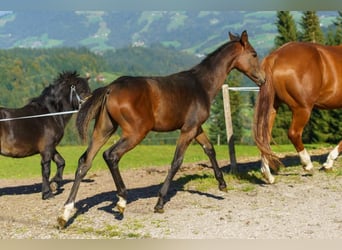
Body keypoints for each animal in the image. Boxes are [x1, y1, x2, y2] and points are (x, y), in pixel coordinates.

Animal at [0, 70, 91, 199]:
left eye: (89, 90)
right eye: (82, 91)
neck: (50, 115)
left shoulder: (51, 147)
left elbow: (61, 162)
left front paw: (54, 184)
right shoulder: (47, 148)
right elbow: (46, 170)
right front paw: (47, 193)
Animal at [57, 30, 266, 228]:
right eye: (254, 54)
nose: (263, 80)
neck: (202, 85)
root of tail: (110, 88)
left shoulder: (196, 127)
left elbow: (209, 149)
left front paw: (222, 184)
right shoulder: (188, 130)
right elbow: (176, 162)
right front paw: (159, 203)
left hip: (104, 129)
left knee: (85, 162)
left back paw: (65, 213)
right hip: (136, 132)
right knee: (111, 155)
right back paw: (122, 200)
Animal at [252, 41, 342, 184]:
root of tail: (275, 56)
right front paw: (329, 162)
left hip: (272, 107)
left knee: (264, 138)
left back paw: (267, 174)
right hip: (303, 109)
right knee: (293, 134)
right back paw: (307, 164)